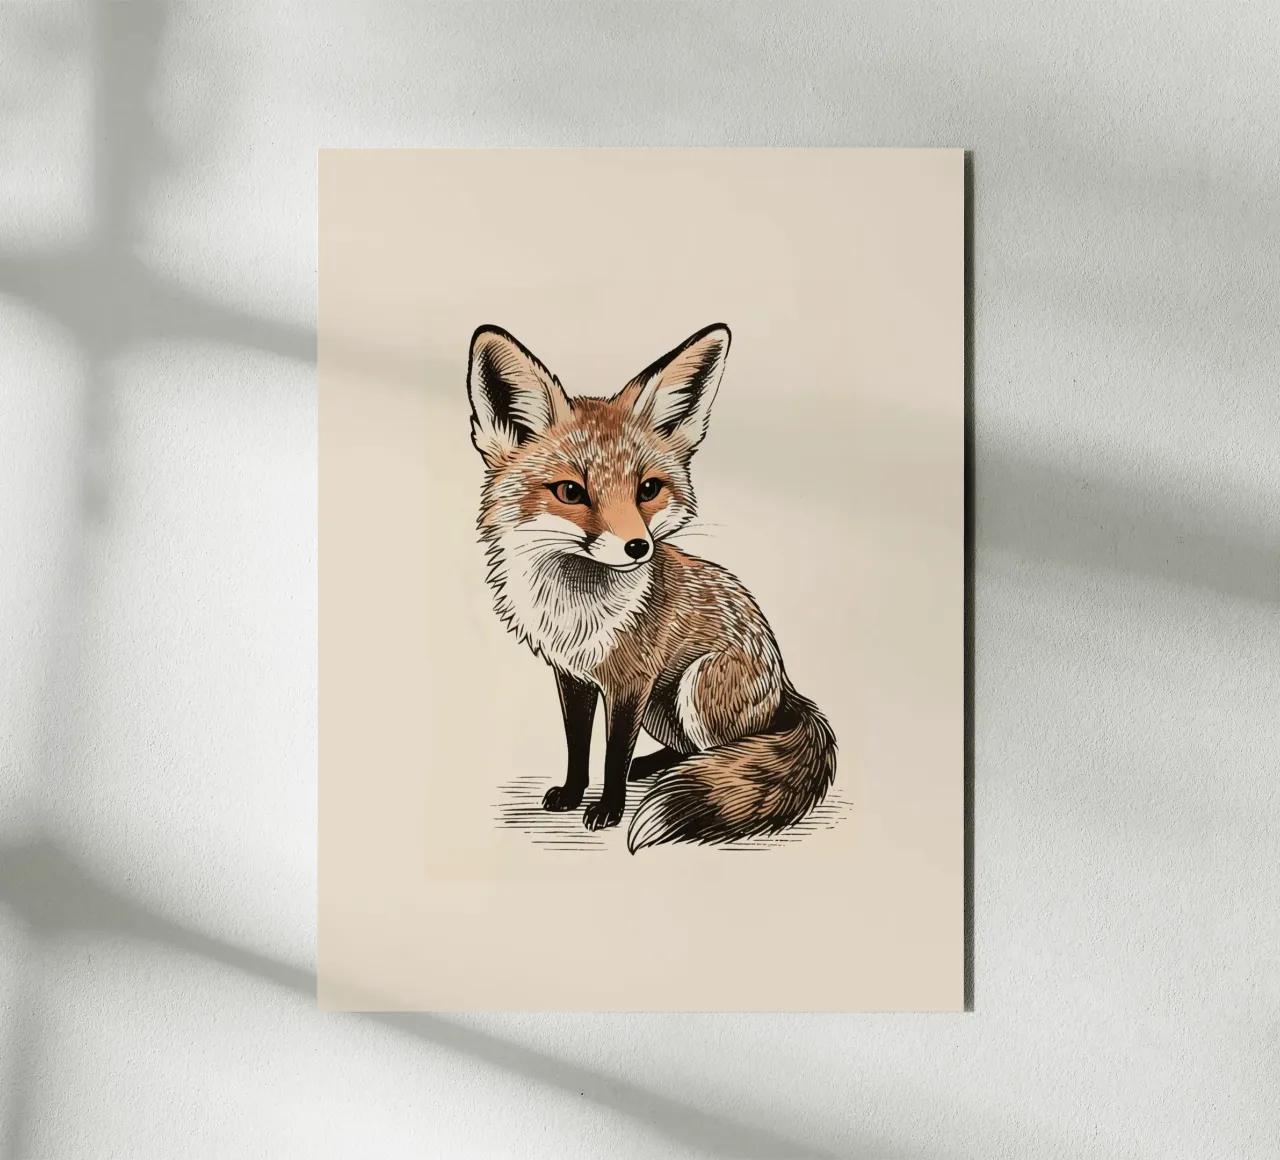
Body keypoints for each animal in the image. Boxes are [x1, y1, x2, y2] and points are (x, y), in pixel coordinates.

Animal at [466, 322, 836, 852]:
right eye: (571, 492)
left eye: (648, 489)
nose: (638, 547)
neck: (576, 610)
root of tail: (786, 686)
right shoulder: (573, 676)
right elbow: (578, 744)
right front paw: (573, 794)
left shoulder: (631, 681)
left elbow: (613, 753)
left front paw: (608, 809)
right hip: (666, 709)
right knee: (691, 751)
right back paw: (656, 767)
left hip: (695, 685)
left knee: (730, 753)